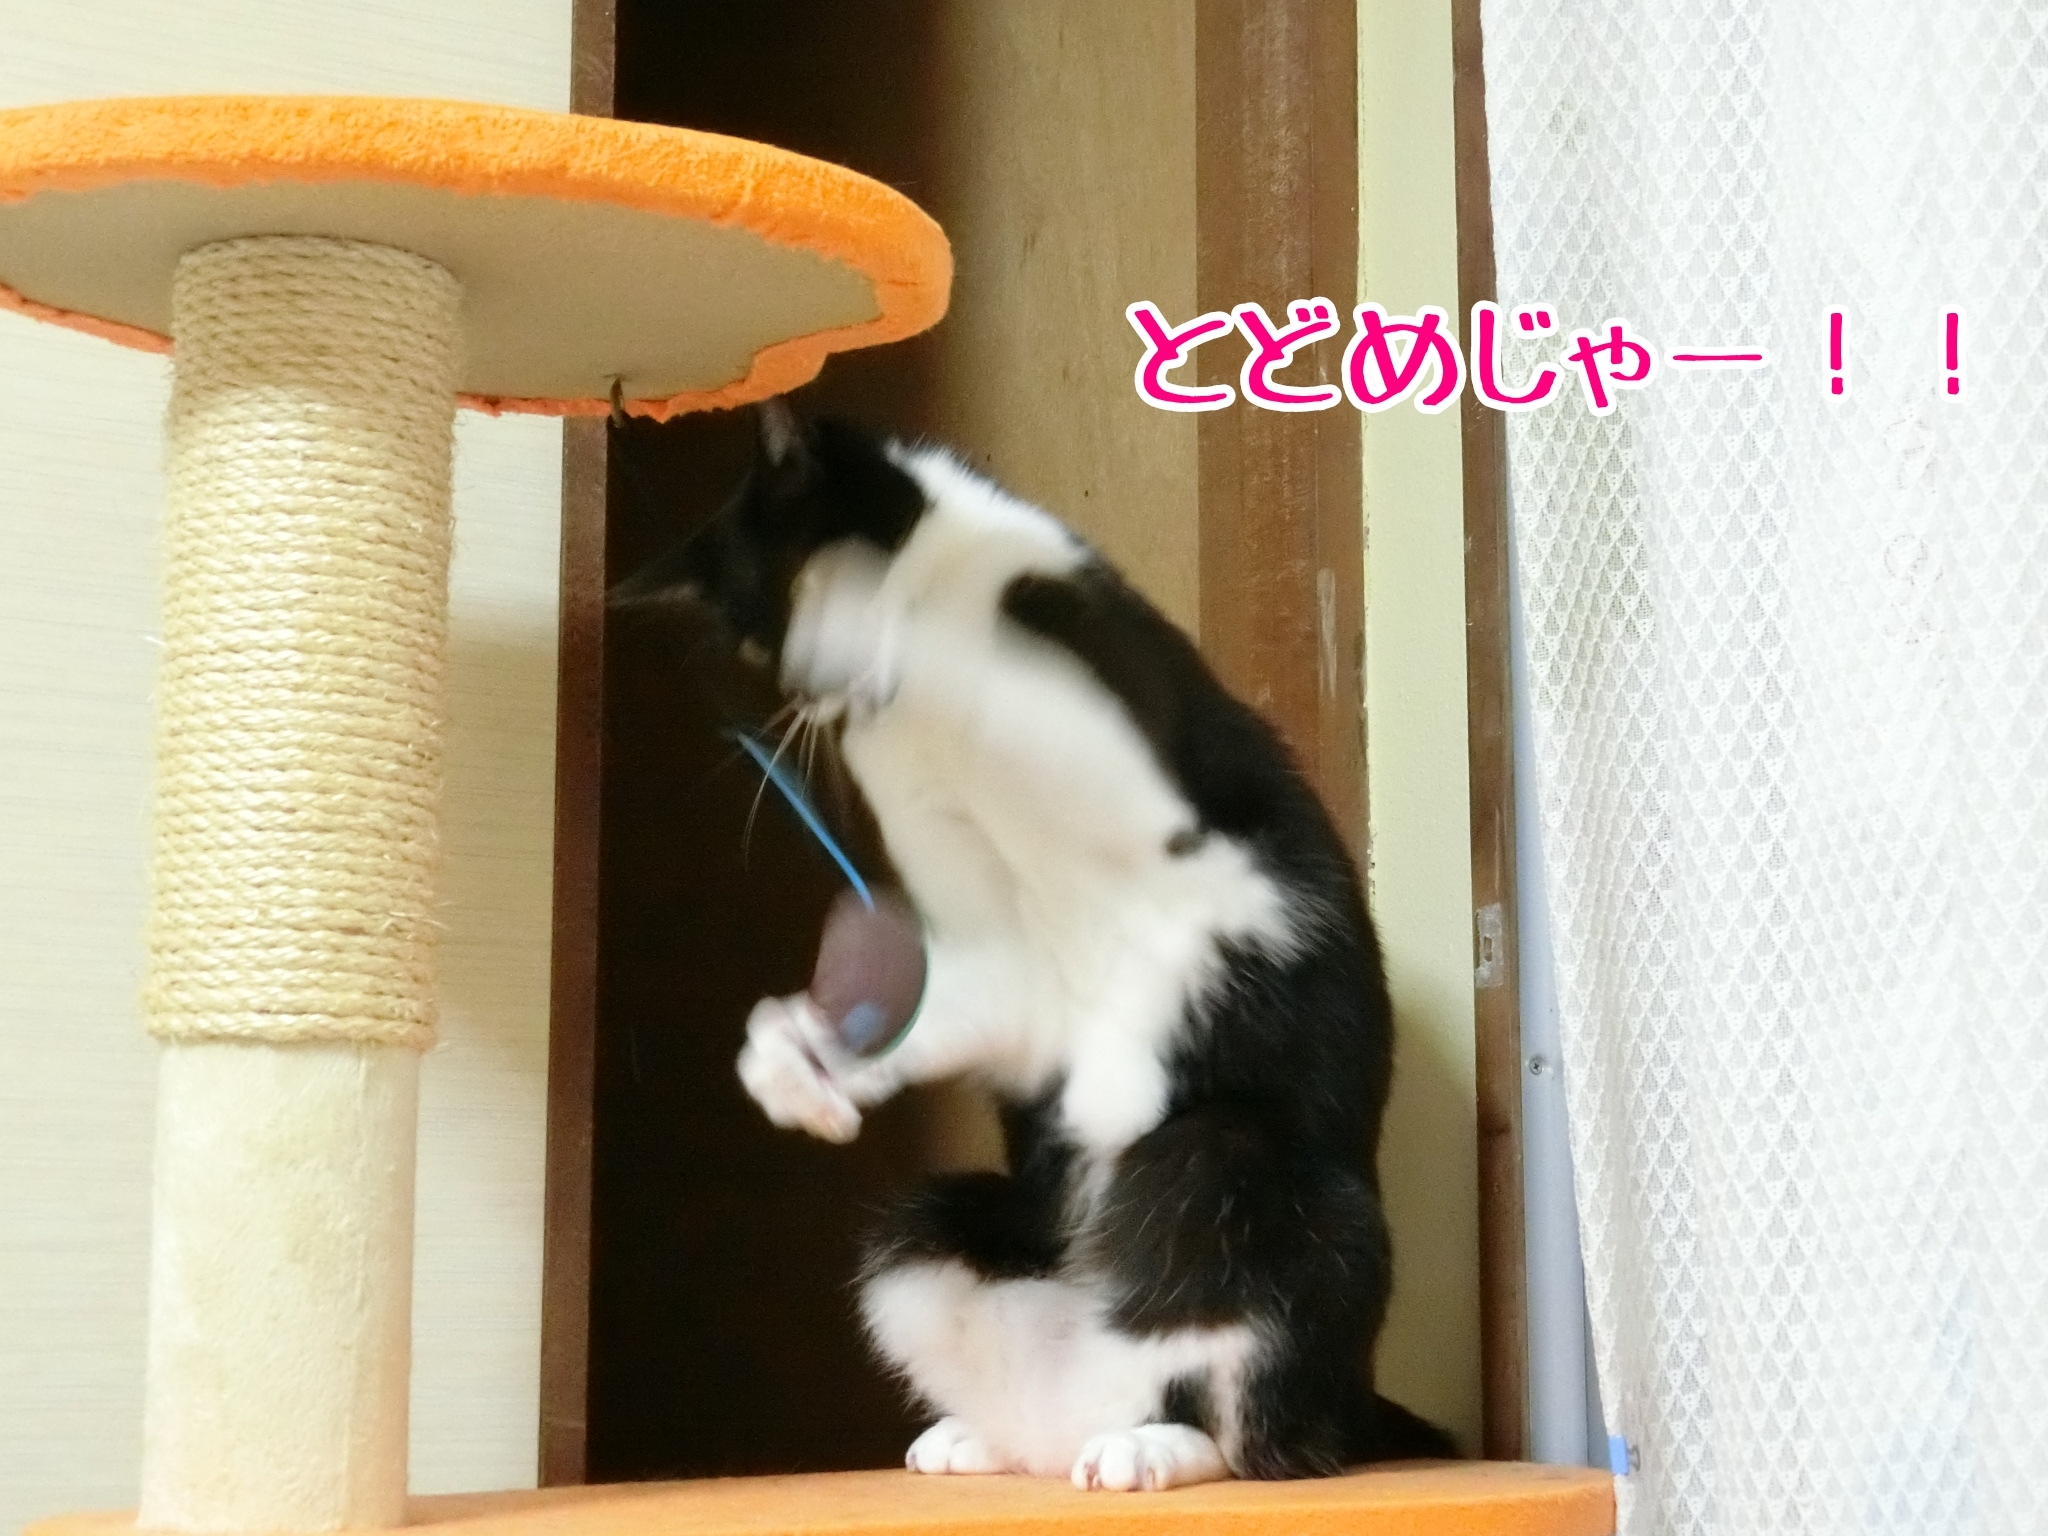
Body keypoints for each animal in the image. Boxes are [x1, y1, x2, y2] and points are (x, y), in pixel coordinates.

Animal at [615, 400, 1456, 1491]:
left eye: (785, 590)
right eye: (749, 637)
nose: (807, 686)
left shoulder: (1124, 739)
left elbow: (1014, 678)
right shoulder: (995, 946)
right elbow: (956, 998)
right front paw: (793, 1061)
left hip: (1232, 1167)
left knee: (1249, 1414)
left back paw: (1156, 1448)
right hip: (946, 1227)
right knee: (962, 1275)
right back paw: (990, 1440)